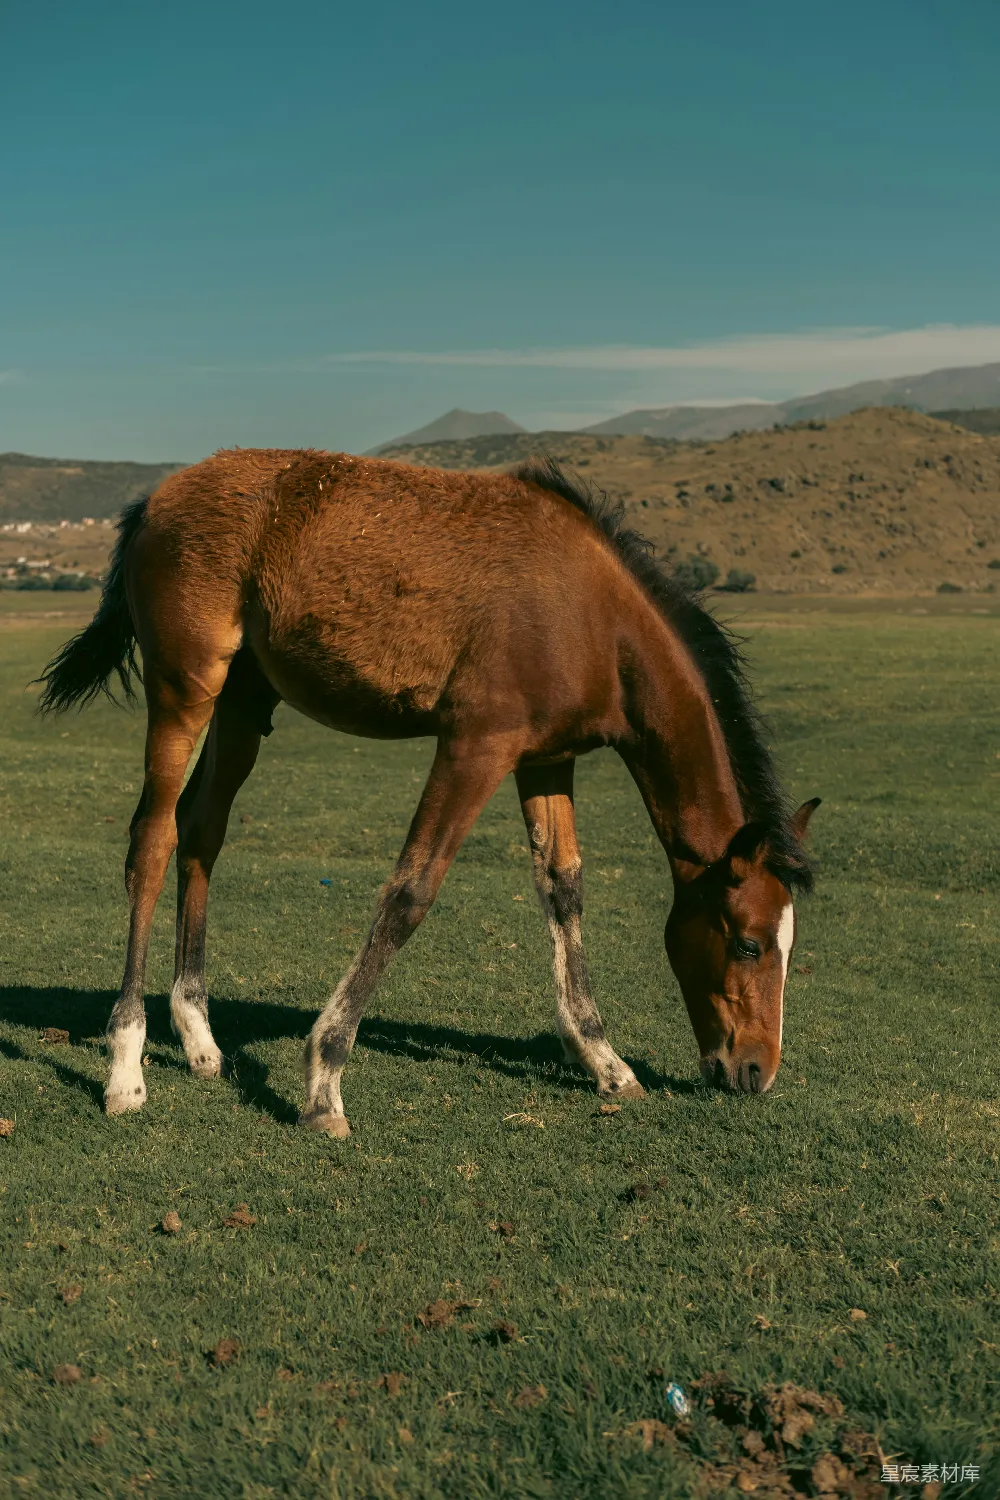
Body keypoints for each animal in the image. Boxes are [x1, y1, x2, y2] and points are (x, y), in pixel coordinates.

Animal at [39, 449, 819, 1135]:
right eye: (749, 944)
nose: (756, 1071)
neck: (594, 615)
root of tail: (154, 500)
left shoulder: (545, 759)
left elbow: (562, 889)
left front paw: (603, 1058)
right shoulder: (475, 747)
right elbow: (411, 892)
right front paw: (324, 1082)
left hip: (242, 701)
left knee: (202, 830)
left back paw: (199, 1036)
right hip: (184, 689)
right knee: (153, 839)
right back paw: (126, 1065)